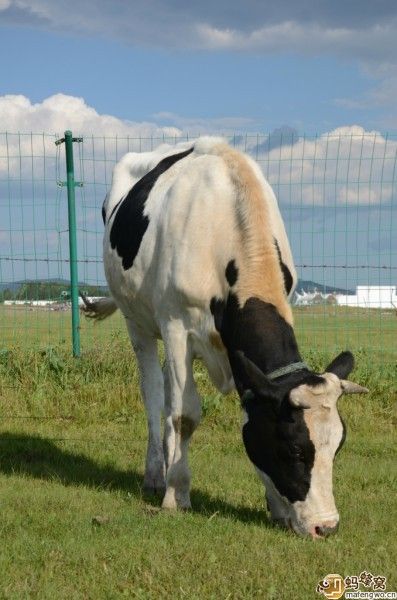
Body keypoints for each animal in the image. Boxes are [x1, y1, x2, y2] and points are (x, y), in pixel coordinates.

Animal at [84, 137, 368, 540]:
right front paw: (177, 495)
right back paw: (156, 475)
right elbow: (185, 415)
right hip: (137, 321)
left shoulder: (241, 354)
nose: (325, 527)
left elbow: (243, 410)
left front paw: (276, 506)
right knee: (155, 395)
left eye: (338, 447)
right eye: (294, 450)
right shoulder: (176, 325)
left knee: (168, 394)